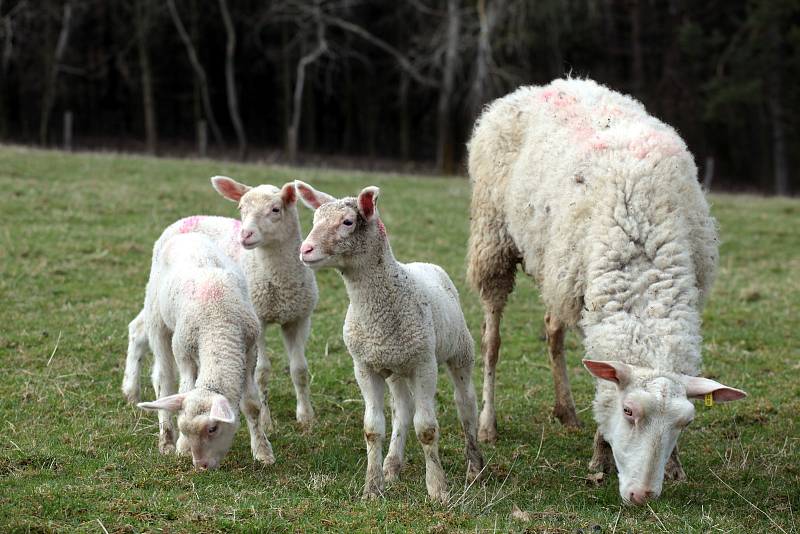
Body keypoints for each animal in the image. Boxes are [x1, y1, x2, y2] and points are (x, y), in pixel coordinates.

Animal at [123, 178, 318, 430]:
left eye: (276, 209)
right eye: (241, 208)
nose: (245, 234)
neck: (278, 280)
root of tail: (185, 219)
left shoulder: (299, 318)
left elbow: (300, 370)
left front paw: (306, 417)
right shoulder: (258, 320)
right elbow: (262, 372)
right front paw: (266, 422)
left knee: (137, 328)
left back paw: (131, 392)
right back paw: (133, 390)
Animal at [136, 232, 274, 472]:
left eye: (212, 429)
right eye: (184, 428)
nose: (201, 466)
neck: (217, 324)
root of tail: (185, 235)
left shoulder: (249, 352)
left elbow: (252, 406)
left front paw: (263, 452)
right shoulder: (183, 355)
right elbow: (184, 388)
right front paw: (182, 447)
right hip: (157, 321)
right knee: (164, 380)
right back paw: (166, 441)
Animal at [292, 182, 482, 504]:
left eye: (348, 222)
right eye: (315, 218)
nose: (305, 250)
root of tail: (423, 263)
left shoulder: (424, 364)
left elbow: (427, 429)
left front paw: (438, 489)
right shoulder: (365, 366)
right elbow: (373, 428)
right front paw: (372, 487)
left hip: (459, 351)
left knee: (466, 404)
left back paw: (475, 468)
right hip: (395, 368)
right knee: (403, 410)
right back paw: (392, 465)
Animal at [466, 77, 748, 504]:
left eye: (684, 423)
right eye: (629, 411)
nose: (643, 495)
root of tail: (546, 85)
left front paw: (675, 466)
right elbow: (604, 382)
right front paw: (600, 459)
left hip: (560, 273)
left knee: (552, 329)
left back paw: (566, 412)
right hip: (493, 238)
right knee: (492, 340)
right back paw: (488, 424)